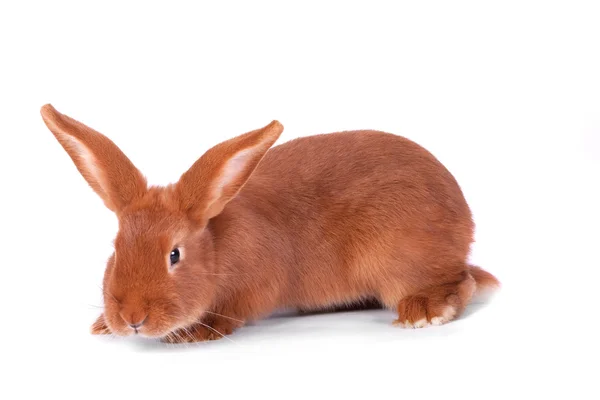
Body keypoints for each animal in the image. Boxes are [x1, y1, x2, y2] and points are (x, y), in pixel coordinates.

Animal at [42, 104, 500, 344]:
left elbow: (236, 310)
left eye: (174, 254)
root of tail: (464, 221)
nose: (132, 318)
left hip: (401, 259)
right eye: (115, 249)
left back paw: (425, 311)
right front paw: (103, 326)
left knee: (460, 281)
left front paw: (198, 332)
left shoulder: (257, 283)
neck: (216, 247)